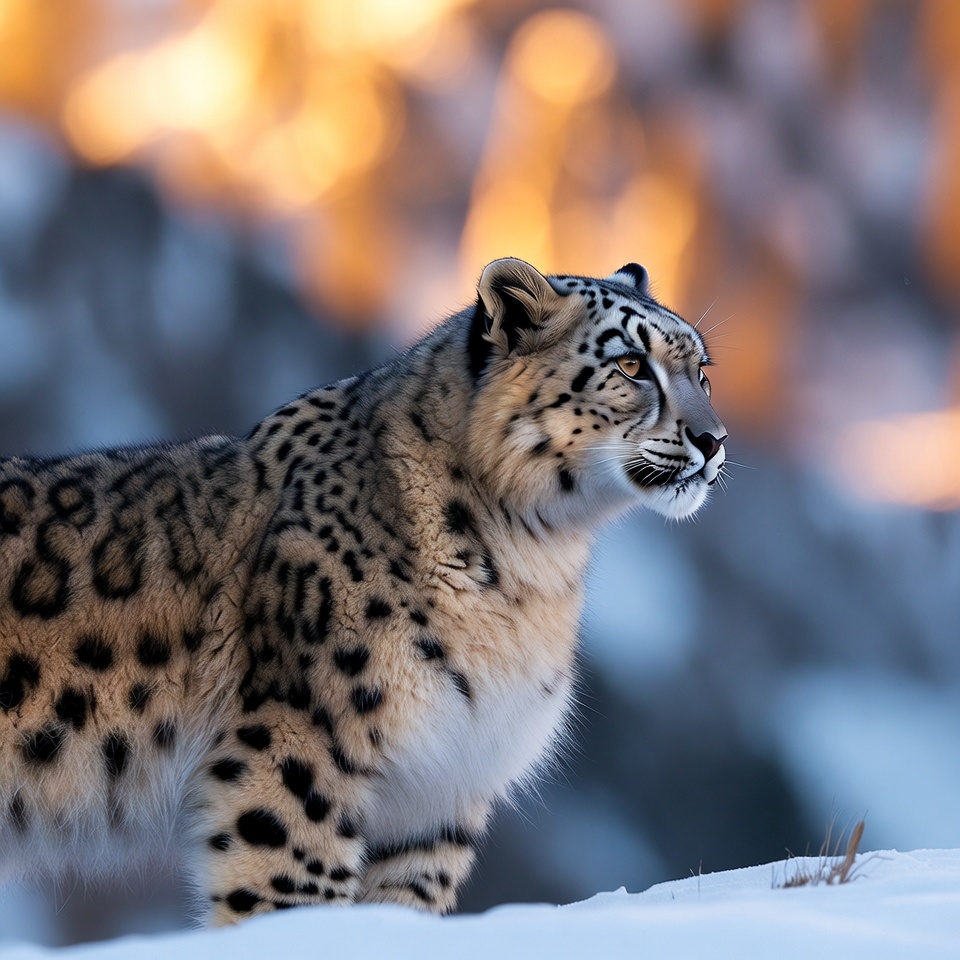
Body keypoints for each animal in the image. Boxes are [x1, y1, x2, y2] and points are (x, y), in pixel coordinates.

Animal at [0, 258, 726, 926]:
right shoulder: (299, 755)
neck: (533, 569)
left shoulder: (439, 791)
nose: (713, 439)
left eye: (702, 371)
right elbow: (291, 894)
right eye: (631, 364)